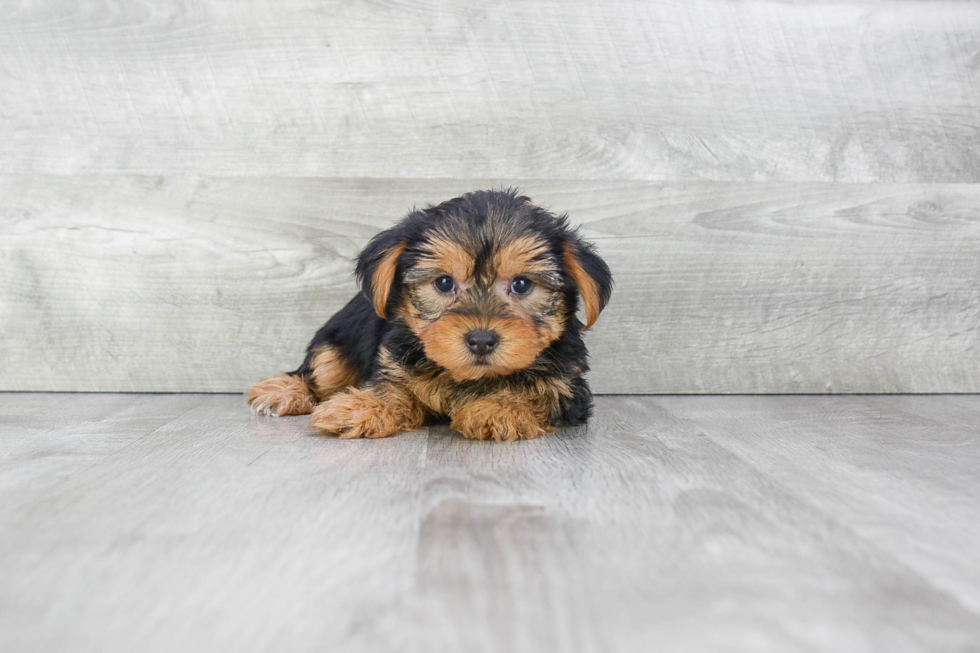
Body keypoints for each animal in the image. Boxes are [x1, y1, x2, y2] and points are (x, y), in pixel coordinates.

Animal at [247, 190, 612, 444]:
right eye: (444, 283)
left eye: (522, 285)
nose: (481, 340)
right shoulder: (396, 360)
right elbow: (392, 389)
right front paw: (360, 407)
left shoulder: (568, 385)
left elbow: (542, 395)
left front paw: (499, 408)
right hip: (336, 344)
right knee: (320, 372)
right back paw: (284, 391)